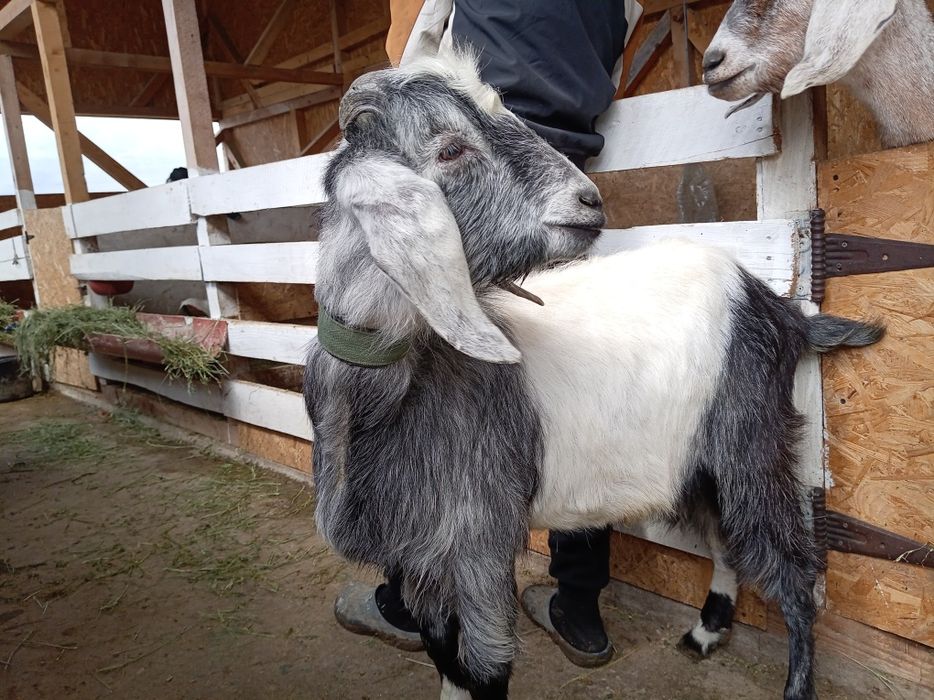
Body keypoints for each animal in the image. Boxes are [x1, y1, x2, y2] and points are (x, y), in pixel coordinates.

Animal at [303, 53, 883, 700]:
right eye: (450, 150)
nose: (587, 200)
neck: (399, 391)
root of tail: (779, 307)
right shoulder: (420, 554)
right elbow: (445, 659)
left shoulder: (478, 541)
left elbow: (482, 668)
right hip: (699, 459)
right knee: (724, 538)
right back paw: (706, 631)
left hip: (752, 444)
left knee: (794, 573)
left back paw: (792, 679)